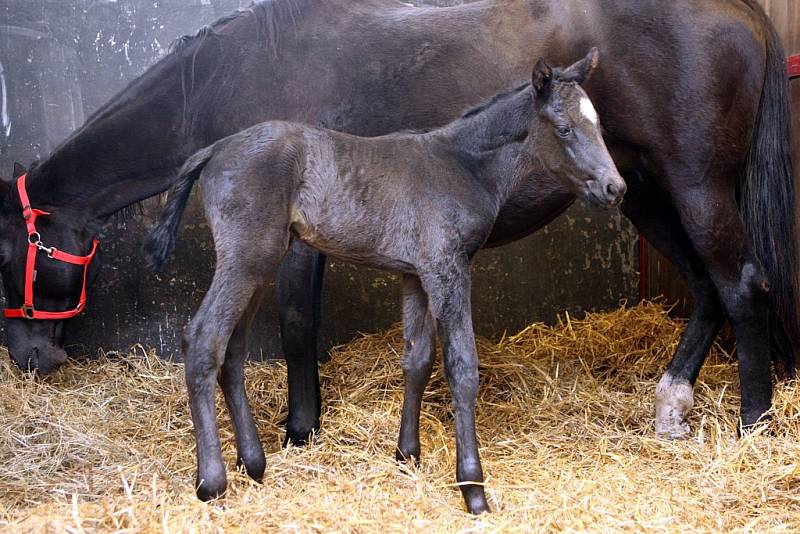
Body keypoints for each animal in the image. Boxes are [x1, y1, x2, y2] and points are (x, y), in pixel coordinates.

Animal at [1, 1, 792, 444]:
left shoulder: (296, 245)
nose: (29, 359)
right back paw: (672, 406)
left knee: (742, 285)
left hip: (692, 186)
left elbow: (298, 325)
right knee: (706, 288)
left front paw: (301, 432)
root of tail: (745, 11)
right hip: (640, 191)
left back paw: (754, 422)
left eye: (10, 254)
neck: (228, 76)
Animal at [145, 50, 624, 516]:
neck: (462, 165)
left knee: (233, 350)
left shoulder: (416, 274)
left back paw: (254, 464)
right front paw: (473, 488)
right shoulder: (447, 267)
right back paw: (213, 482)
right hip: (246, 258)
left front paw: (407, 455)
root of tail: (215, 149)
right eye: (563, 128)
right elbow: (462, 367)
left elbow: (417, 360)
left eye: (599, 124)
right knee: (203, 339)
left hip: (260, 265)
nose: (614, 188)